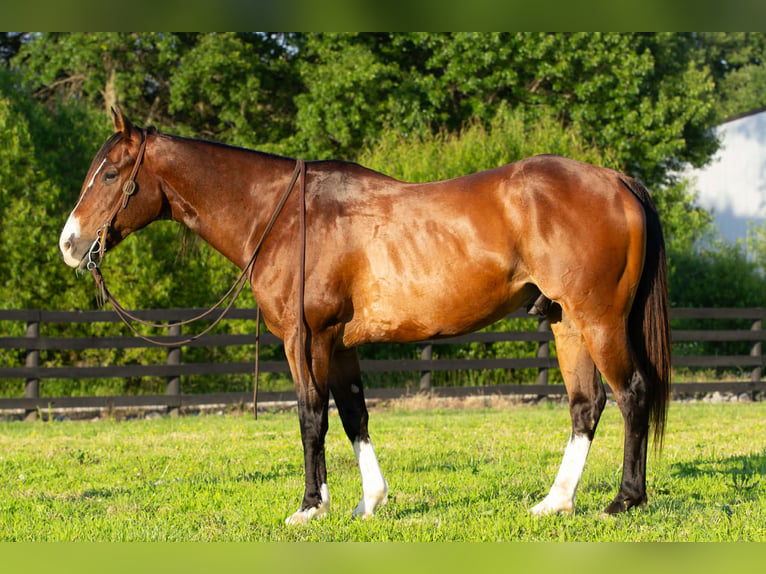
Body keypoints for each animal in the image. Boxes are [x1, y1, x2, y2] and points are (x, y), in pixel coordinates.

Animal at [59, 107, 670, 524]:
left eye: (111, 174)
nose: (69, 244)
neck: (284, 216)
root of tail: (615, 180)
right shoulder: (339, 344)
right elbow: (354, 416)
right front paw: (367, 502)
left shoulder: (305, 339)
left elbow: (311, 417)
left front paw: (309, 506)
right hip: (566, 322)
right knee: (586, 405)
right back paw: (555, 502)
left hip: (599, 320)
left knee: (632, 393)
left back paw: (625, 499)